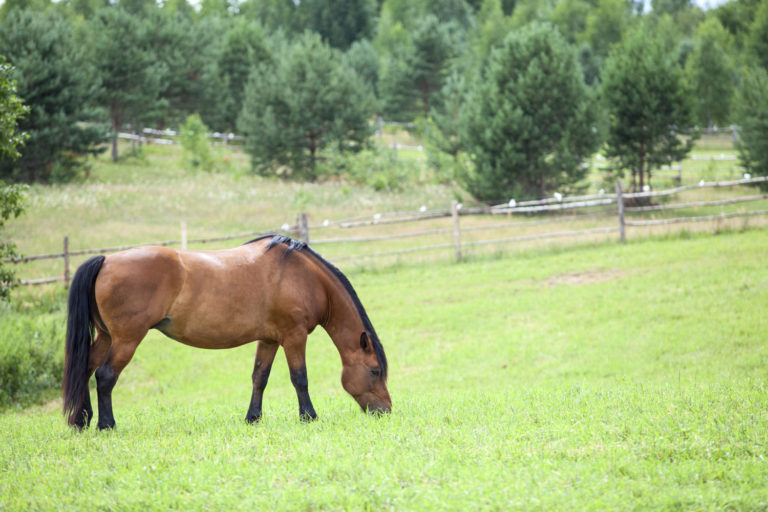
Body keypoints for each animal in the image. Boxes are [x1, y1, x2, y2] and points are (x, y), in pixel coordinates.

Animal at [62, 235, 390, 429]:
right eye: (375, 371)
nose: (386, 411)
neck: (303, 276)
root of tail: (107, 260)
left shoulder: (269, 339)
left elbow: (260, 378)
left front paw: (253, 418)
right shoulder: (294, 337)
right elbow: (300, 378)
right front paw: (308, 416)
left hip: (106, 336)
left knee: (85, 370)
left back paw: (81, 420)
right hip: (126, 339)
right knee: (105, 376)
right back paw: (106, 424)